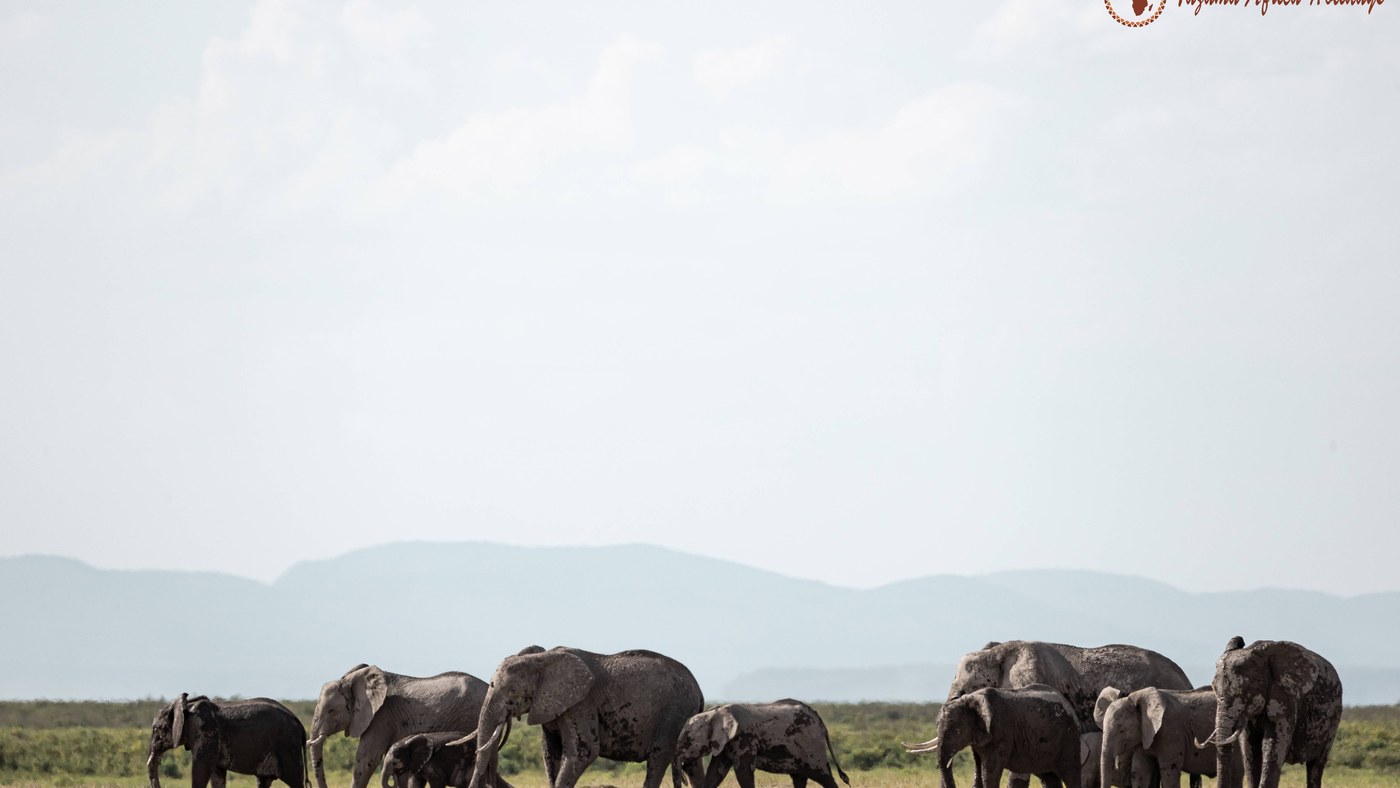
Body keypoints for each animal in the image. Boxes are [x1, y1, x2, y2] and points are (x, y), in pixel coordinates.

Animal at [146, 693, 307, 788]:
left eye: (157, 729)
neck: (187, 706)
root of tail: (299, 723)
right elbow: (217, 774)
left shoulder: (206, 733)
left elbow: (201, 769)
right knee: (263, 781)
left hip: (288, 747)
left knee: (295, 781)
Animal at [463, 645, 705, 788]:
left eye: (511, 691)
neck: (542, 657)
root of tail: (700, 691)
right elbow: (550, 754)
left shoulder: (581, 702)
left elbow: (583, 751)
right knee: (692, 765)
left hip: (674, 713)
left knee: (658, 758)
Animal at [673, 700, 850, 788]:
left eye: (687, 741)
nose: (684, 768)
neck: (714, 712)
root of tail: (818, 718)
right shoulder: (725, 743)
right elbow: (715, 772)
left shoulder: (744, 738)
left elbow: (743, 772)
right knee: (799, 778)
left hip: (811, 746)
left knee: (824, 776)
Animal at [904, 684, 1086, 788]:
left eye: (957, 730)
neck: (971, 698)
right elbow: (978, 770)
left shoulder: (1000, 733)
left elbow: (989, 772)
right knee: (1048, 778)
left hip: (1068, 738)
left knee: (1071, 775)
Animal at [1197, 637, 1342, 788]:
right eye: (1213, 687)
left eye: (1247, 688)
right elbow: (1249, 750)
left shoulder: (1285, 698)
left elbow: (1272, 745)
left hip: (1333, 720)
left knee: (1316, 766)